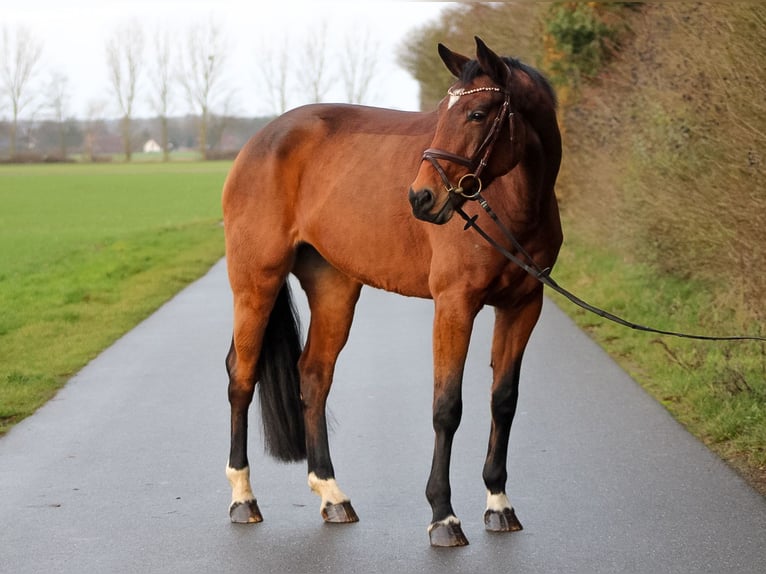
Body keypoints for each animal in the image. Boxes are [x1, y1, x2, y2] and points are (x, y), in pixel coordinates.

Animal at [222, 37, 564, 548]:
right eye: (442, 111)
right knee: (241, 377)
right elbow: (447, 407)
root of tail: (261, 140)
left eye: (477, 113)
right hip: (255, 283)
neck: (510, 206)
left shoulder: (524, 306)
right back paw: (243, 498)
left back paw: (332, 495)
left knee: (313, 375)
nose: (421, 197)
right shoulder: (455, 306)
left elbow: (503, 401)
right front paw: (443, 516)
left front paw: (499, 504)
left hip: (334, 288)